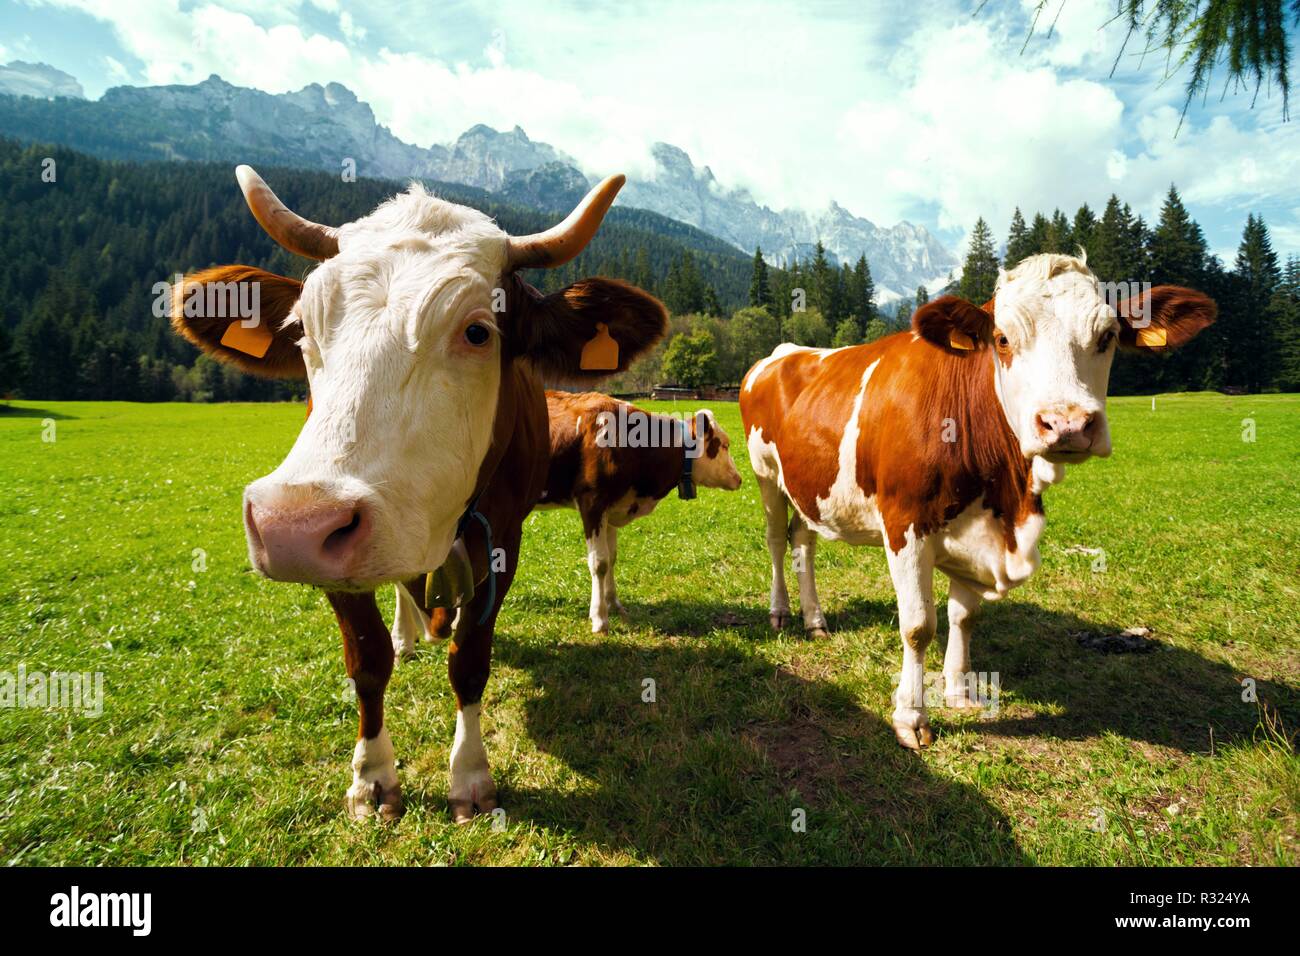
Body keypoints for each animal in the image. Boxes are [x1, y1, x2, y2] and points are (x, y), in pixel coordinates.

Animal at [171, 166, 666, 822]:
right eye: (302, 328)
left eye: (478, 332)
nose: (290, 525)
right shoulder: (339, 556)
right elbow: (367, 660)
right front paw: (371, 777)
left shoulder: (502, 541)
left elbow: (469, 660)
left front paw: (470, 776)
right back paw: (410, 635)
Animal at [538, 391, 743, 632]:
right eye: (724, 445)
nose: (739, 478)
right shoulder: (592, 503)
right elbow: (599, 563)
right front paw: (599, 618)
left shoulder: (611, 508)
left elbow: (611, 558)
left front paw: (613, 603)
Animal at [739, 254, 1215, 750]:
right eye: (1003, 339)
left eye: (1107, 337)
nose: (1066, 424)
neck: (1006, 496)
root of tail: (785, 352)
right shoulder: (905, 525)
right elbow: (918, 625)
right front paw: (911, 717)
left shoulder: (977, 530)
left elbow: (963, 615)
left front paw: (958, 690)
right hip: (766, 474)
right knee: (777, 540)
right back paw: (780, 612)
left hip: (809, 487)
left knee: (803, 542)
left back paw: (815, 620)